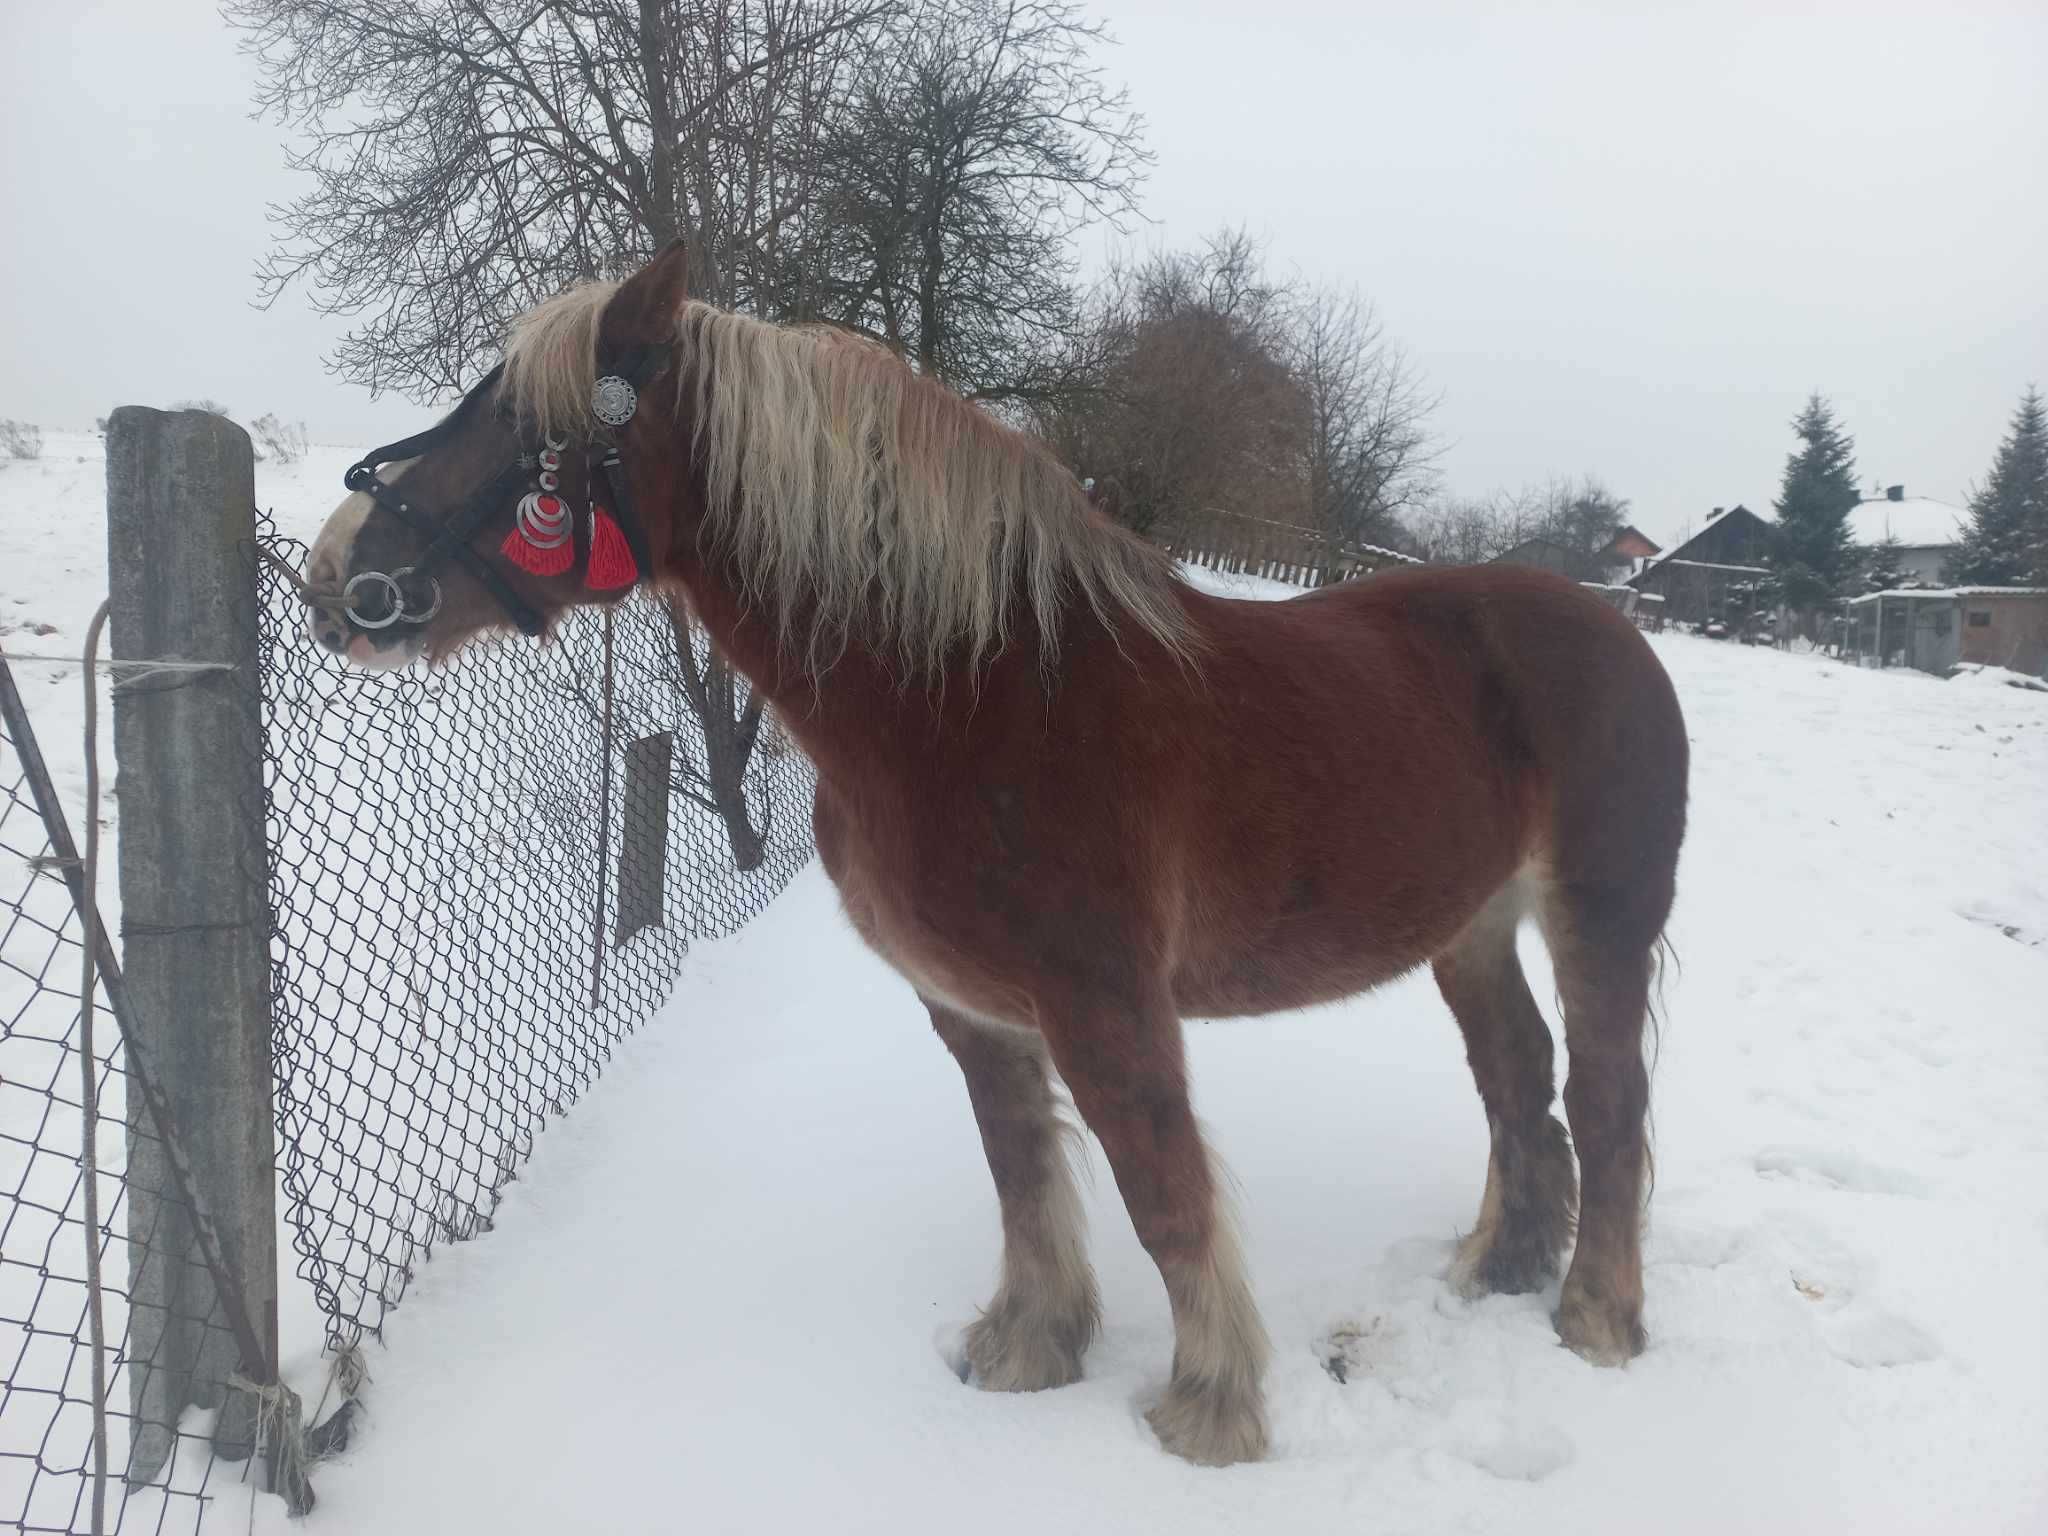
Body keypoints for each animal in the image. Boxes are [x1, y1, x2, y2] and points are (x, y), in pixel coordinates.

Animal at [299, 243, 1679, 1466]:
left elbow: (1161, 1191)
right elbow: (1022, 1171)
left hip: (1597, 917)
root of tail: (1613, 631)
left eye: (520, 426)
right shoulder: (971, 1007)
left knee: (1604, 1101)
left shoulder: (1103, 1004)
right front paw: (1027, 1350)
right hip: (1470, 929)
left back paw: (1594, 1322)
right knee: (1515, 1079)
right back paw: (1498, 1269)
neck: (972, 692)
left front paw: (1210, 1414)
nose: (338, 575)